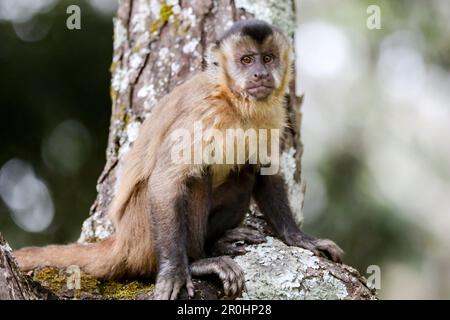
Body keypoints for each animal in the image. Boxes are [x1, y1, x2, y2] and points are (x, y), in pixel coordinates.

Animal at [14, 20, 344, 300]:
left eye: (269, 58)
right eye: (247, 60)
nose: (260, 75)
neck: (235, 103)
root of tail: (120, 241)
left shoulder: (273, 113)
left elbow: (265, 170)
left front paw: (299, 238)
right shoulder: (203, 113)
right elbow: (166, 182)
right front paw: (175, 271)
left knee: (243, 172)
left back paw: (219, 241)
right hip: (142, 235)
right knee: (195, 178)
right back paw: (199, 261)